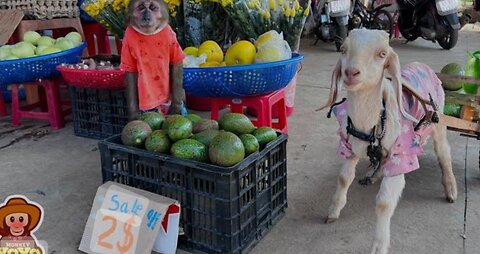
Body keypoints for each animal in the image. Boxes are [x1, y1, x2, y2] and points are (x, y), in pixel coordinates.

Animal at [318, 28, 458, 253]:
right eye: (343, 49)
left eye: (382, 54)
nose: (351, 72)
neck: (369, 123)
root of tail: (422, 65)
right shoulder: (349, 147)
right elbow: (344, 178)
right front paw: (333, 211)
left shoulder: (402, 156)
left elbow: (384, 202)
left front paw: (379, 245)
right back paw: (375, 174)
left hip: (438, 122)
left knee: (444, 155)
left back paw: (451, 189)